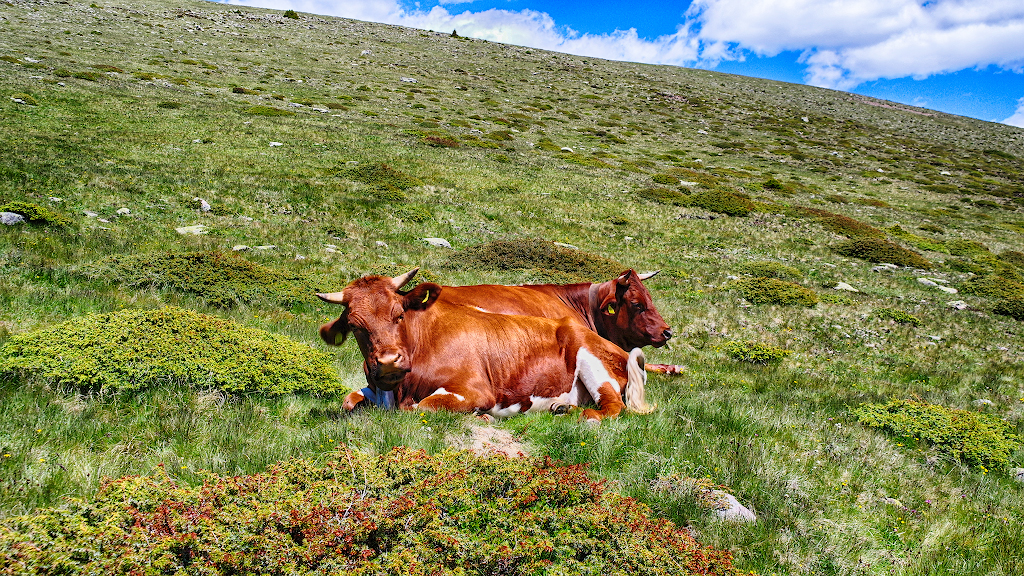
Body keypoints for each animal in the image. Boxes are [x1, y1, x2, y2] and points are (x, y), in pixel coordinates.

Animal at [315, 268, 651, 422]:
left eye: (399, 314)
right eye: (355, 327)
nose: (387, 362)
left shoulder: (474, 389)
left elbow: (423, 407)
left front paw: (483, 416)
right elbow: (349, 400)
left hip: (590, 358)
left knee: (613, 406)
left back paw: (585, 416)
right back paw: (561, 407)